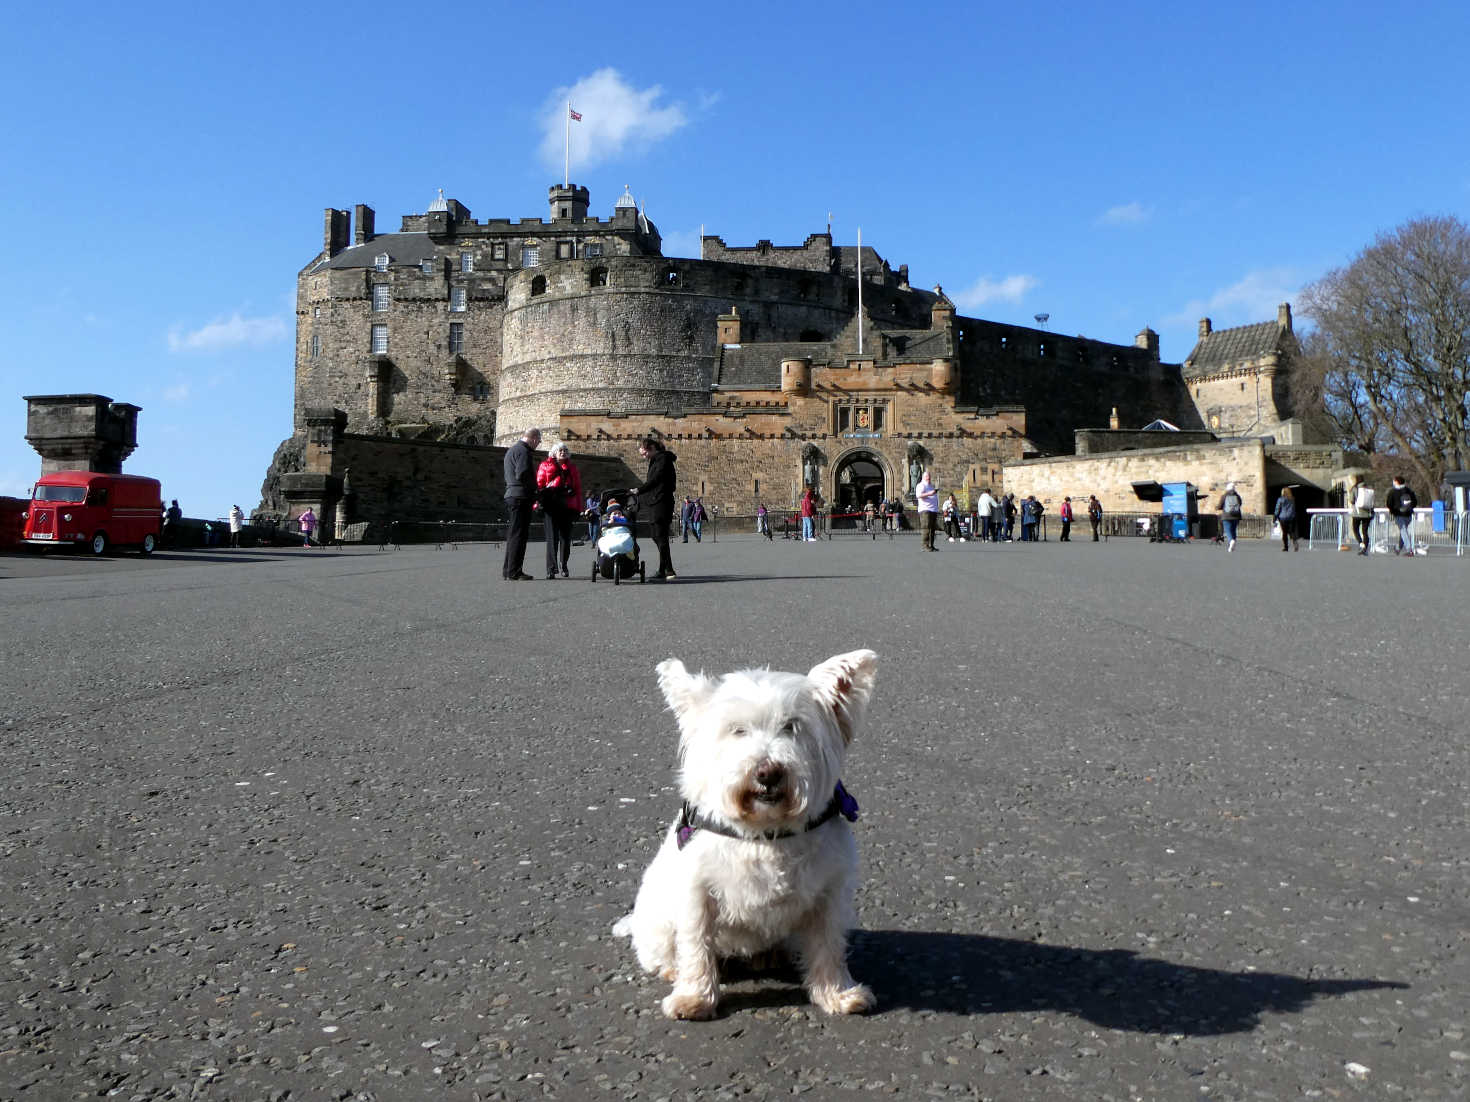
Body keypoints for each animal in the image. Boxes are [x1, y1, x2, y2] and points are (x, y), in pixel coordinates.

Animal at [608, 652, 870, 1022]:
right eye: (737, 730)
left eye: (792, 725)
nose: (768, 773)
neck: (766, 833)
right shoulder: (697, 892)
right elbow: (696, 945)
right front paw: (694, 998)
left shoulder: (830, 892)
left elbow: (829, 945)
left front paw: (838, 993)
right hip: (657, 921)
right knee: (662, 951)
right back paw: (672, 969)